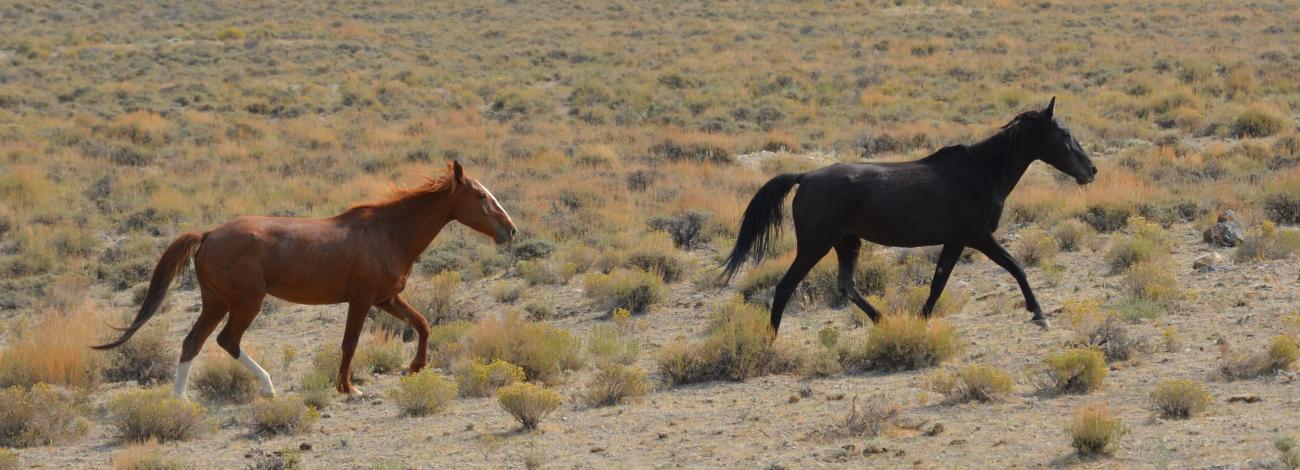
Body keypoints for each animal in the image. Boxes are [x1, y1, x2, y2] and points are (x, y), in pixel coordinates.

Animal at [92, 160, 512, 397]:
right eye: (480, 195)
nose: (511, 230)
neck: (390, 232)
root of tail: (209, 235)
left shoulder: (386, 298)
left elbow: (423, 324)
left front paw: (414, 367)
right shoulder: (362, 300)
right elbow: (350, 343)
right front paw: (349, 388)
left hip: (215, 302)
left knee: (192, 342)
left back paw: (180, 401)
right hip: (245, 303)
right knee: (227, 341)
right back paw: (267, 388)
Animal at [722, 98, 1097, 334]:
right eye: (1064, 134)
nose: (1091, 170)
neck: (982, 172)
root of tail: (805, 176)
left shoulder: (955, 241)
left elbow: (938, 283)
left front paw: (919, 321)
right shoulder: (978, 236)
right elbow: (1016, 267)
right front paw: (1040, 314)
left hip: (846, 242)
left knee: (846, 284)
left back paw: (883, 320)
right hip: (815, 245)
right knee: (786, 287)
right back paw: (770, 339)